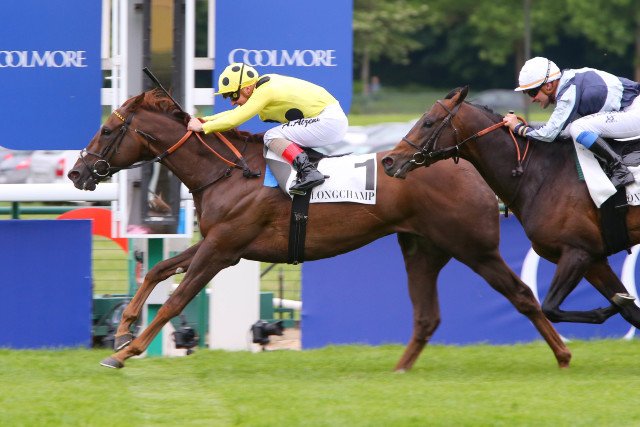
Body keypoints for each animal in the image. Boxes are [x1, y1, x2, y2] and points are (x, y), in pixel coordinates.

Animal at [68, 89, 570, 370]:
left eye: (108, 130)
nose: (76, 173)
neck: (228, 171)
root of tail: (468, 167)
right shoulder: (219, 243)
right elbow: (157, 272)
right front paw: (123, 329)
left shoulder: (222, 248)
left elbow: (175, 299)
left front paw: (123, 352)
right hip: (423, 249)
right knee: (427, 316)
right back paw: (399, 371)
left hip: (474, 247)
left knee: (522, 295)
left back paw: (564, 355)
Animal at [381, 86, 640, 330]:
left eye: (428, 122)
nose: (389, 161)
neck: (541, 174)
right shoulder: (593, 260)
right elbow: (630, 312)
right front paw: (618, 303)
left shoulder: (578, 252)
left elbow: (550, 308)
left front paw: (609, 308)